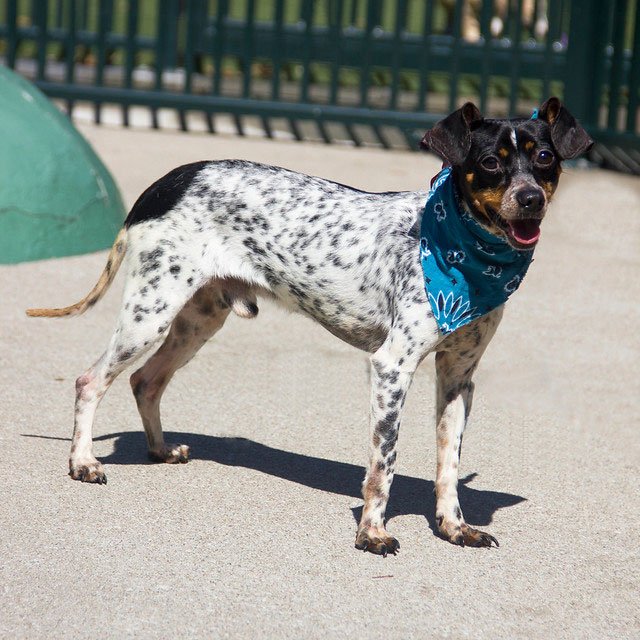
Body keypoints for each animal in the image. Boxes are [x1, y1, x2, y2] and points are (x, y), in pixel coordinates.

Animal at [28, 96, 592, 556]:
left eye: (545, 159)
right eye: (490, 163)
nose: (531, 199)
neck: (466, 255)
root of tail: (169, 181)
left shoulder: (458, 378)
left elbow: (448, 467)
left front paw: (454, 528)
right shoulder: (392, 367)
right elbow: (383, 465)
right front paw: (371, 533)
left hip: (198, 320)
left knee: (146, 381)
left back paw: (161, 449)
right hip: (150, 314)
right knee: (91, 379)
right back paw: (83, 462)